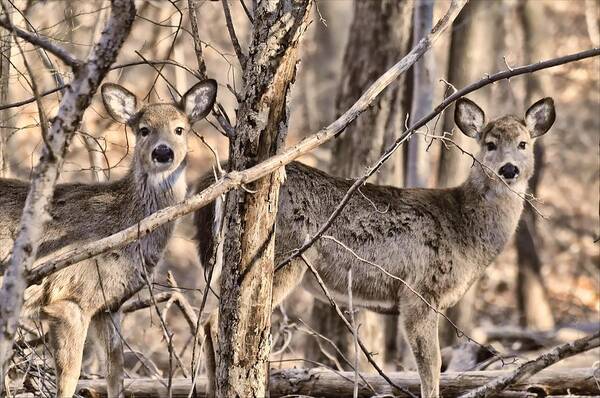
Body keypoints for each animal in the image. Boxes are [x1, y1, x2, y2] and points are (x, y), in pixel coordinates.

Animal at [0, 79, 218, 396]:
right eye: (143, 129)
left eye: (180, 129)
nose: (163, 152)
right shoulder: (71, 300)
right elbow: (70, 380)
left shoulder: (110, 307)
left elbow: (116, 374)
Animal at [196, 97, 552, 398]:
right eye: (490, 144)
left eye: (523, 143)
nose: (509, 169)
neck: (464, 228)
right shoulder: (420, 292)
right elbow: (431, 366)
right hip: (285, 254)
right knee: (216, 320)